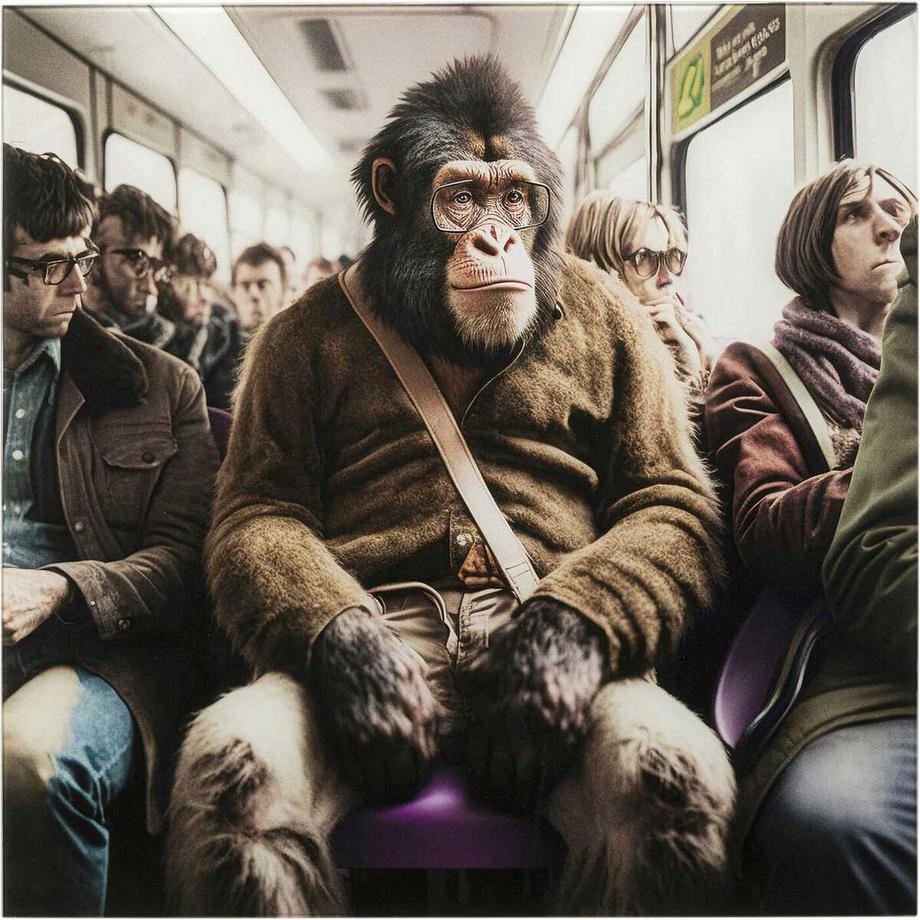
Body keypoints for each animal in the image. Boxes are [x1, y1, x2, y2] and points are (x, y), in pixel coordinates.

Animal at [166, 56, 735, 916]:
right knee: (240, 789)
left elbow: (661, 493)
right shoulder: (283, 345)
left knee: (661, 788)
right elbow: (264, 508)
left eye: (515, 199)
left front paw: (541, 677)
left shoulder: (630, 332)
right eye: (461, 196)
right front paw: (371, 682)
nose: (495, 236)